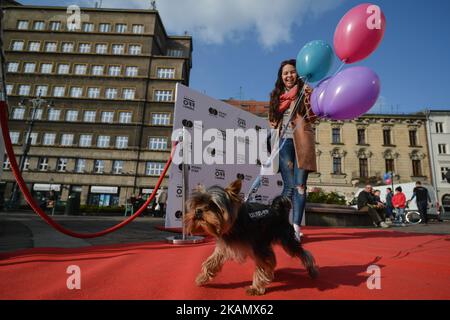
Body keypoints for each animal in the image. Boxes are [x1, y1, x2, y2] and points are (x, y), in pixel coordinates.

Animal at [185, 179, 318, 296]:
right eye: (197, 203)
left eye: (212, 205)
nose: (198, 211)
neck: (234, 225)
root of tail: (277, 210)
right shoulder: (224, 246)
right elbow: (211, 262)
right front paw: (202, 277)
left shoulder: (259, 247)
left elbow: (262, 266)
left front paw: (256, 288)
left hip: (286, 238)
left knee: (302, 252)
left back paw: (312, 270)